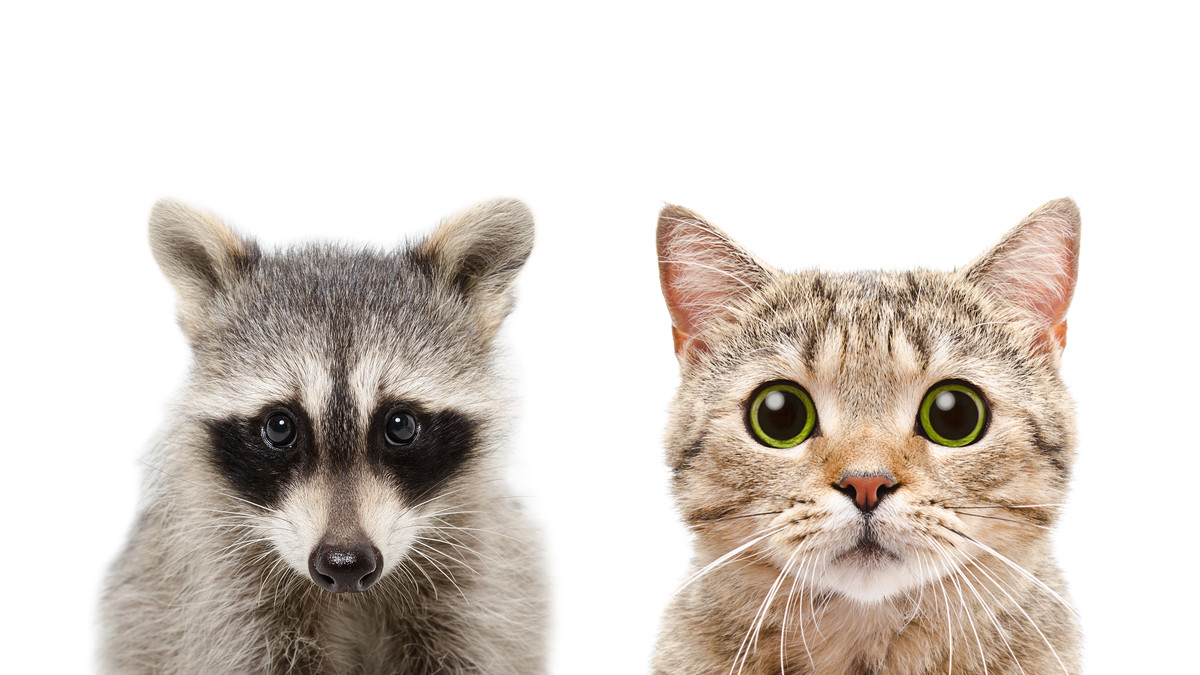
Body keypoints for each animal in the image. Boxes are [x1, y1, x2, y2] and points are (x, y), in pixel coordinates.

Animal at [99, 198, 547, 674]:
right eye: (279, 428)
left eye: (400, 426)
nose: (345, 564)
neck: (352, 597)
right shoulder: (217, 600)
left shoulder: (480, 587)